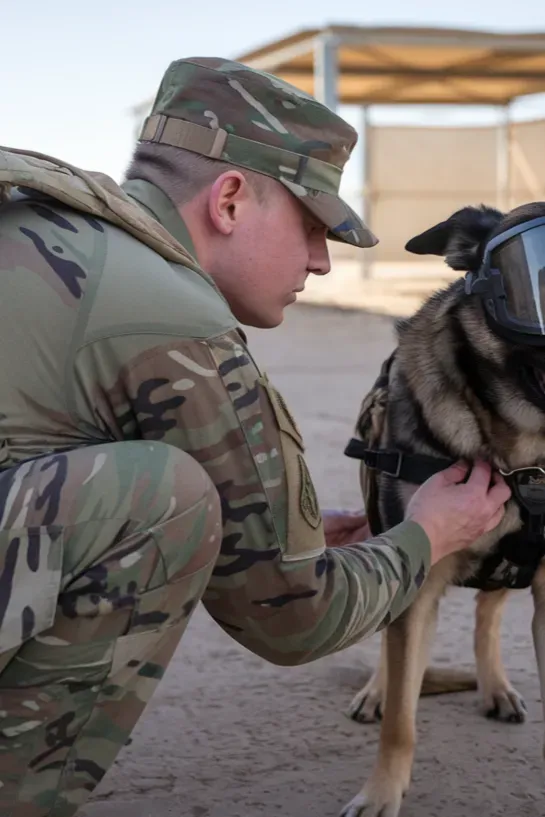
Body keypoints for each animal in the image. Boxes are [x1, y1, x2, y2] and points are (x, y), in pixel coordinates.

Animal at [340, 201, 545, 816]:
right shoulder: (420, 577)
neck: (519, 461)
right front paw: (382, 792)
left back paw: (495, 686)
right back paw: (377, 691)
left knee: (487, 615)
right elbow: (401, 721)